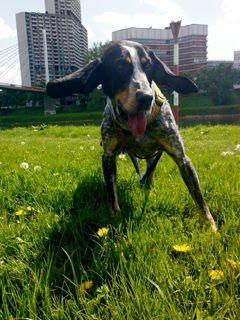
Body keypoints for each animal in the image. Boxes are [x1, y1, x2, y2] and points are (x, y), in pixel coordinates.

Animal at [47, 40, 218, 231]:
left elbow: (199, 197)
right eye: (120, 66)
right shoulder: (108, 157)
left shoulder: (182, 159)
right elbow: (112, 193)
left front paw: (211, 226)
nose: (146, 97)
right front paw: (115, 217)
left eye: (148, 65)